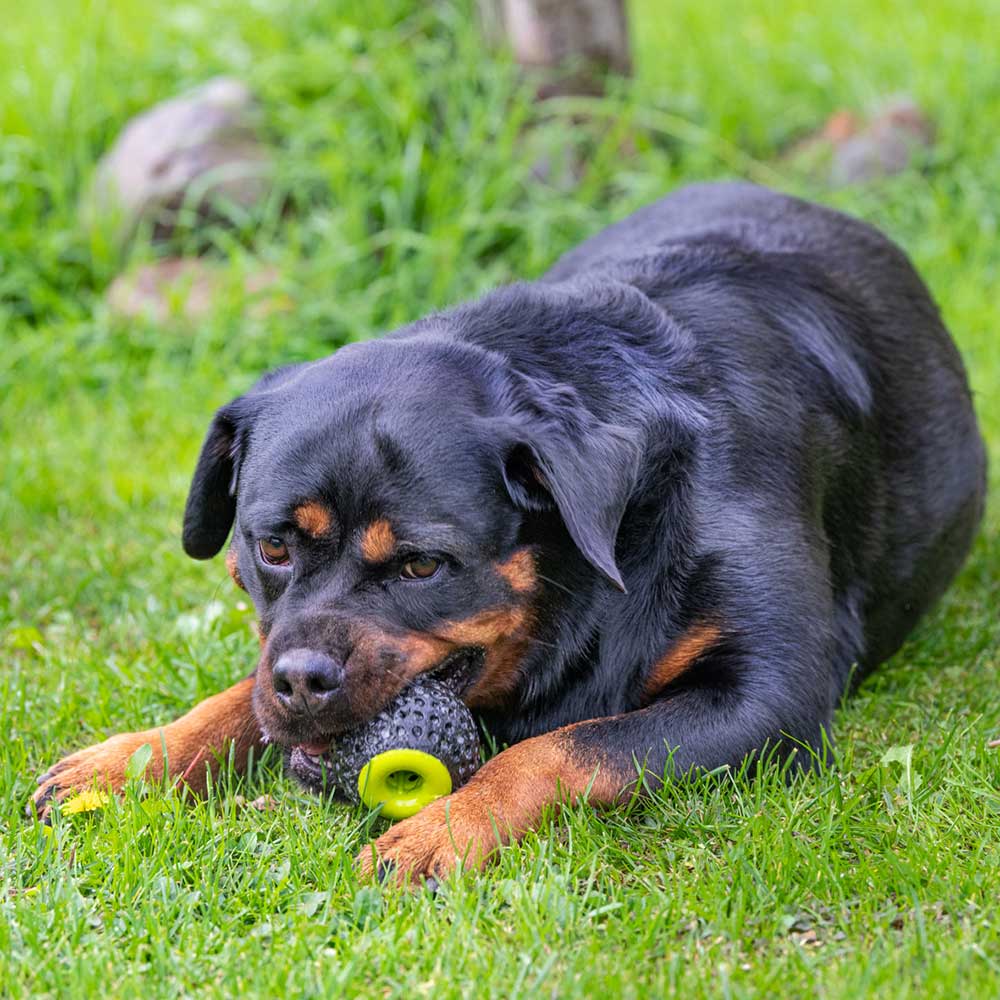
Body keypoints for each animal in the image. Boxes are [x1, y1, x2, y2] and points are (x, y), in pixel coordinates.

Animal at [31, 182, 984, 884]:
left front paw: (443, 831)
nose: (303, 681)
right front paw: (136, 757)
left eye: (423, 565)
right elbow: (240, 694)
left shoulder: (772, 696)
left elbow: (565, 748)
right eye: (270, 548)